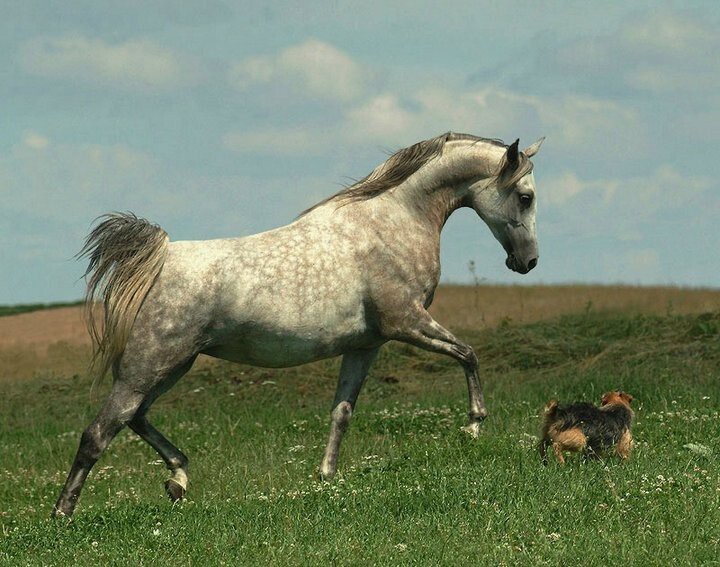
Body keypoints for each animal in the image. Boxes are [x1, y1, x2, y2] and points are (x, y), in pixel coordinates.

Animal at [53, 133, 544, 520]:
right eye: (526, 196)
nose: (528, 262)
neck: (392, 221)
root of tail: (162, 260)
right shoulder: (407, 323)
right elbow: (468, 353)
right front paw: (474, 425)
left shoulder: (367, 346)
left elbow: (341, 411)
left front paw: (326, 477)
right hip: (150, 365)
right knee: (100, 431)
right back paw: (63, 514)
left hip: (173, 366)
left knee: (135, 418)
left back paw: (179, 480)